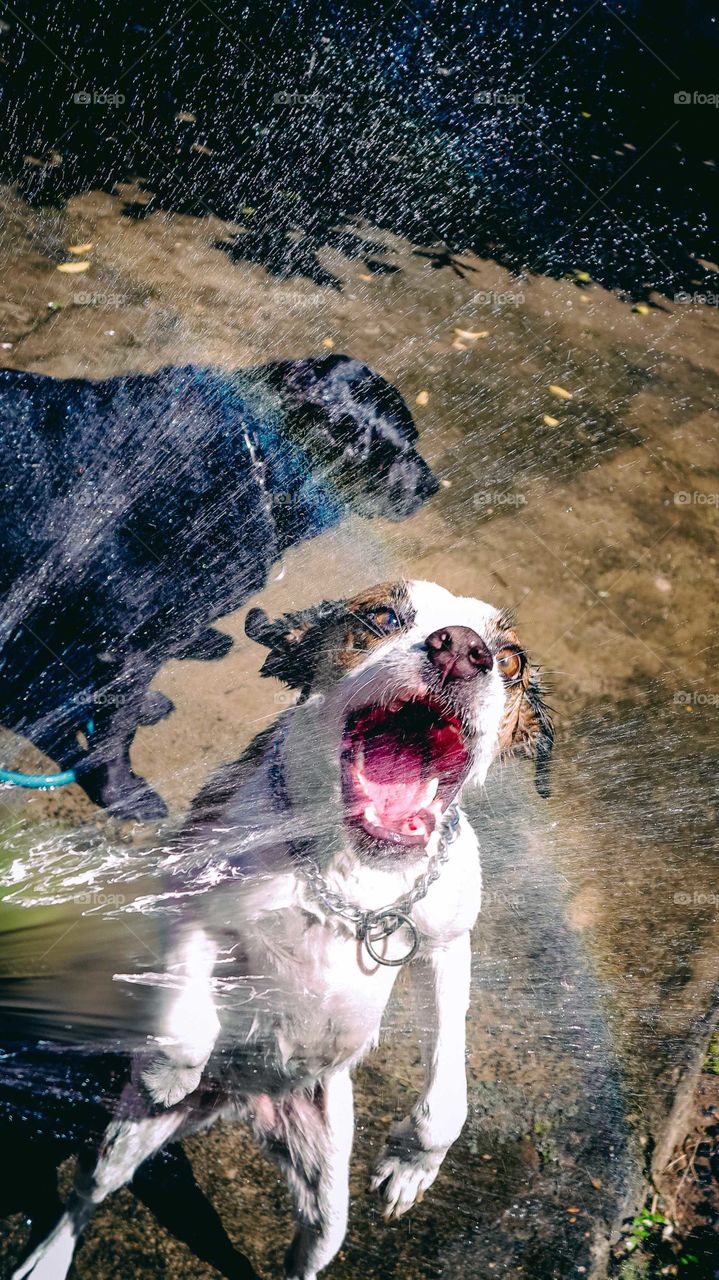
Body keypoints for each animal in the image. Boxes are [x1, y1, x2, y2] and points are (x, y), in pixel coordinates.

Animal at [0, 360, 434, 819]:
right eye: (398, 447)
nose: (433, 485)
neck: (256, 463)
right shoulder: (133, 641)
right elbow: (115, 729)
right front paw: (122, 792)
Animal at [9, 581, 547, 1280]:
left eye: (510, 660)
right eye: (381, 616)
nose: (462, 649)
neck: (349, 869)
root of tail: (240, 1103)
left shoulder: (447, 945)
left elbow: (448, 1075)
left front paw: (414, 1161)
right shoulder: (187, 890)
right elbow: (189, 1020)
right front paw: (169, 1068)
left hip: (325, 1190)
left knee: (311, 1247)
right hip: (125, 1139)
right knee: (87, 1194)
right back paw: (51, 1253)